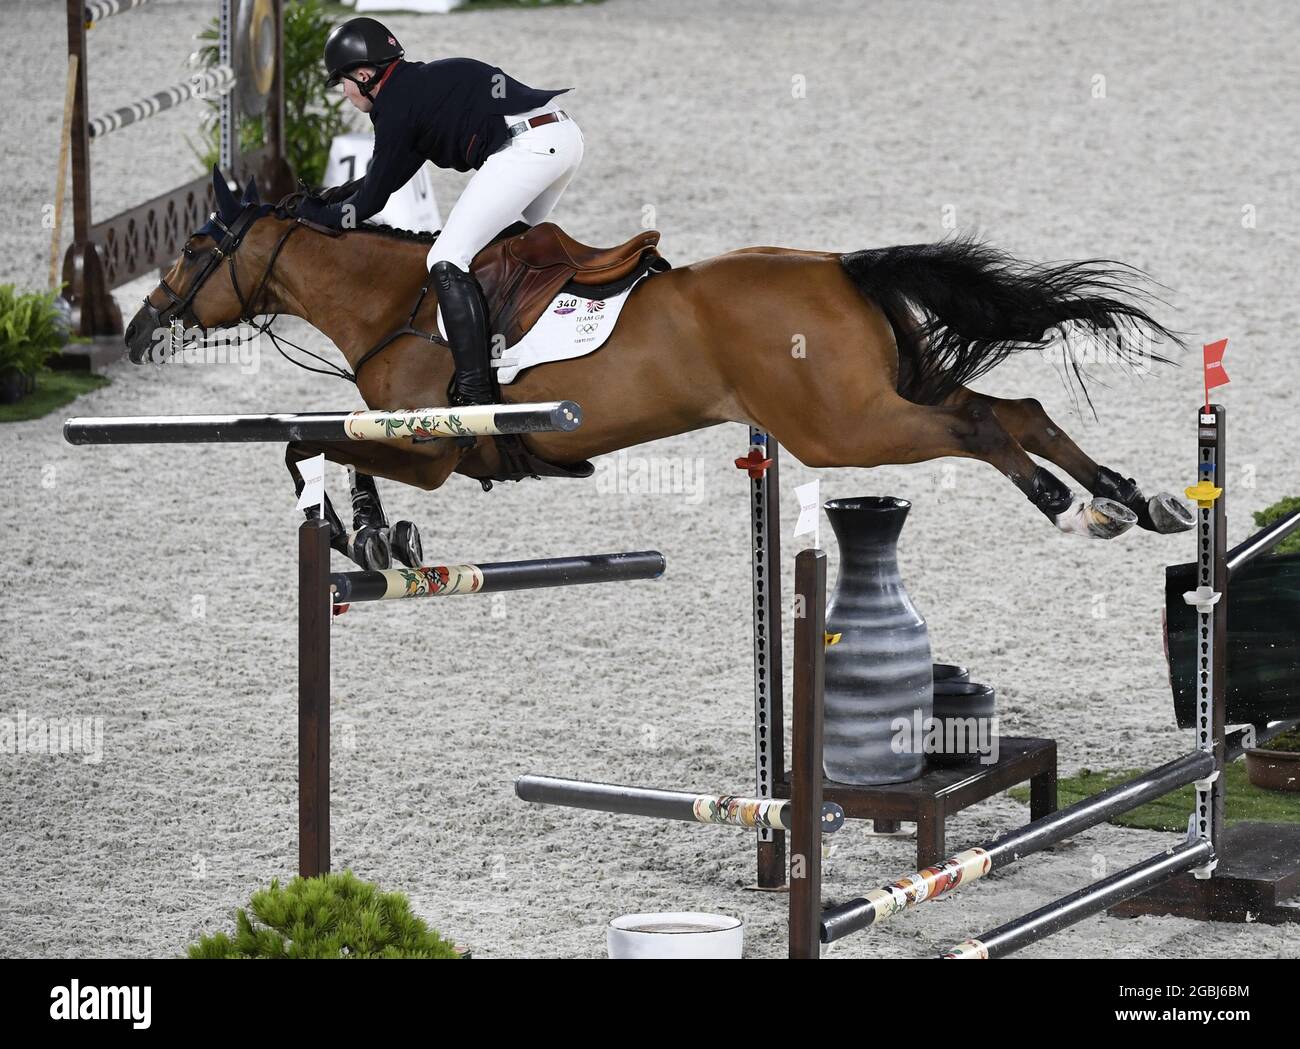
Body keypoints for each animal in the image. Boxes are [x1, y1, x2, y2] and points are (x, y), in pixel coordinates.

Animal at [123, 170, 1193, 566]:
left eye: (191, 249)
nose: (138, 330)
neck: (394, 308)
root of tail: (837, 265)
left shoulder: (432, 452)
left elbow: (307, 447)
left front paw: (368, 537)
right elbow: (323, 447)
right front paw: (379, 538)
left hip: (842, 428)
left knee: (977, 428)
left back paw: (1072, 508)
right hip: (888, 390)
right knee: (1020, 407)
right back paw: (1133, 497)